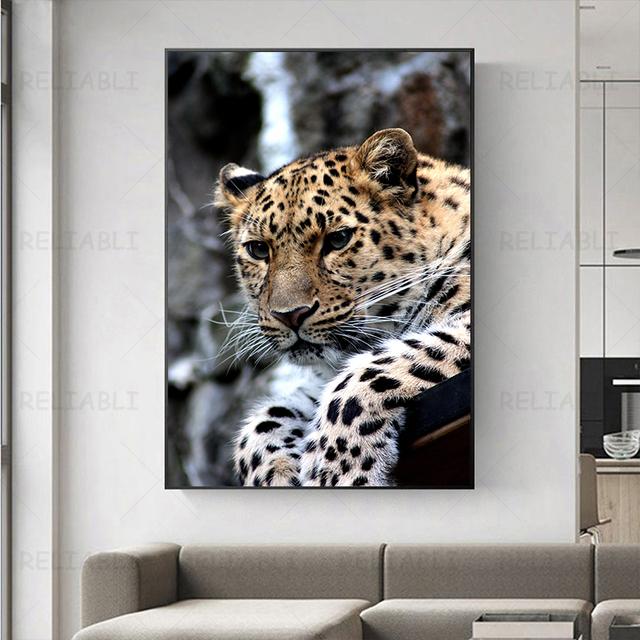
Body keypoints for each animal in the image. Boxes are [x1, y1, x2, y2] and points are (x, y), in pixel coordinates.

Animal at [214, 128, 470, 487]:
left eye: (338, 240)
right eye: (258, 250)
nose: (289, 315)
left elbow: (365, 375)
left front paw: (336, 471)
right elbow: (264, 420)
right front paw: (276, 473)